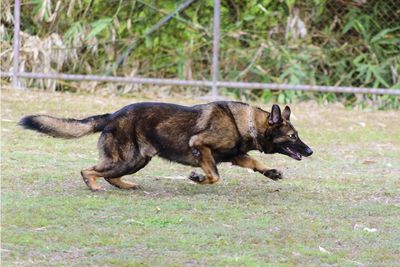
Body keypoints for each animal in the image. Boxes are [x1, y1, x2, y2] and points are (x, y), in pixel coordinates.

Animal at [19, 101, 312, 192]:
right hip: (125, 159)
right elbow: (214, 175)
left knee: (111, 176)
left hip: (136, 161)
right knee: (88, 170)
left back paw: (125, 186)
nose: (310, 151)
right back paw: (94, 186)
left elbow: (254, 162)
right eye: (293, 136)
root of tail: (113, 115)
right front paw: (197, 177)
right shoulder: (200, 146)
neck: (244, 122)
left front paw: (271, 172)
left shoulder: (236, 155)